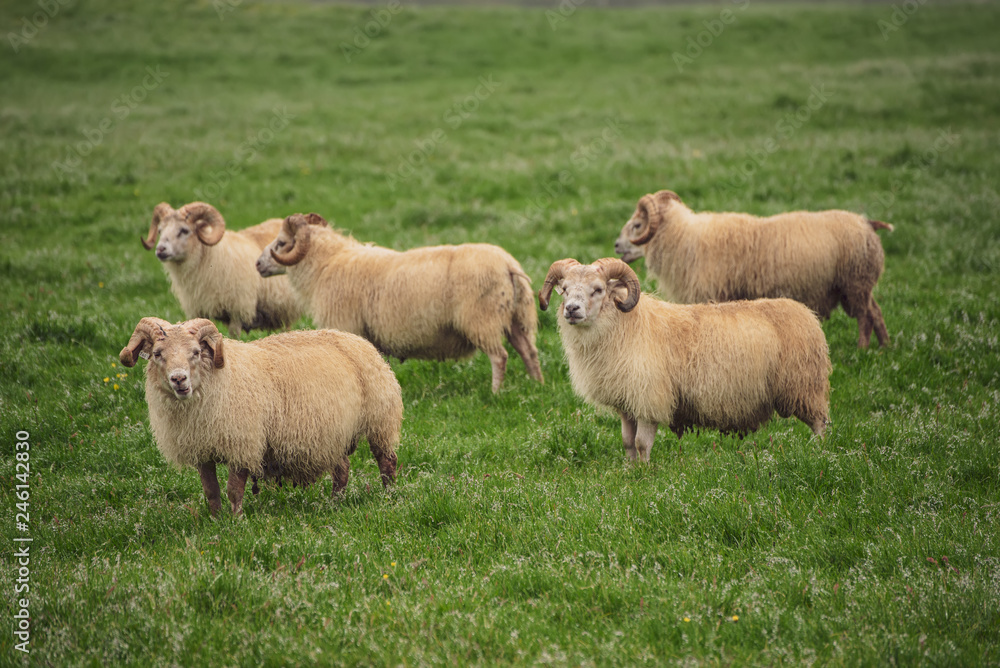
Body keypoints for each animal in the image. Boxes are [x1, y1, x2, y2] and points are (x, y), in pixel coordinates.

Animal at [119, 316, 403, 516]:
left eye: (196, 352)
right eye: (158, 354)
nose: (179, 379)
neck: (220, 378)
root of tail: (357, 340)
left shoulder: (243, 443)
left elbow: (234, 490)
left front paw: (236, 521)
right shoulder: (202, 449)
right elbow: (211, 491)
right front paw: (215, 520)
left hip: (380, 419)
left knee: (386, 461)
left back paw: (389, 496)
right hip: (333, 434)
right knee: (342, 469)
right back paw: (335, 502)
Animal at [141, 201, 302, 338]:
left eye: (184, 230)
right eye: (160, 230)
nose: (160, 250)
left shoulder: (237, 309)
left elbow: (234, 335)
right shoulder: (200, 308)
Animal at [255, 213, 544, 393]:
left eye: (281, 243)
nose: (258, 264)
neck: (326, 264)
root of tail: (508, 265)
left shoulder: (347, 325)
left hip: (482, 319)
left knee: (500, 356)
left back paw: (495, 393)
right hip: (516, 317)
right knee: (529, 352)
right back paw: (536, 385)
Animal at [538, 257, 831, 462]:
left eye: (598, 289)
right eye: (565, 289)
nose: (571, 309)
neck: (624, 326)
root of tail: (806, 314)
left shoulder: (649, 399)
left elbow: (642, 443)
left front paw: (644, 473)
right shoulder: (627, 402)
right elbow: (627, 442)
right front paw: (629, 471)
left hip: (805, 387)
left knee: (820, 423)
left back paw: (818, 455)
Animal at [615, 190, 894, 348]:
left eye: (638, 225)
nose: (617, 245)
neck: (683, 239)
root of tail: (867, 223)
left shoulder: (711, 295)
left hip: (855, 283)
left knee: (865, 317)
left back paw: (861, 350)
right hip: (858, 285)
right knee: (876, 312)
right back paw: (885, 349)